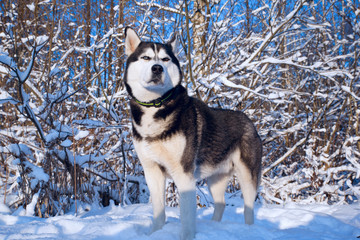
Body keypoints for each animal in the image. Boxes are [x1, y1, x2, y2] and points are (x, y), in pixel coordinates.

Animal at [124, 27, 262, 239]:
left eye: (165, 59)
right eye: (146, 57)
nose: (157, 68)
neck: (155, 107)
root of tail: (249, 121)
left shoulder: (184, 174)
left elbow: (187, 216)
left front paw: (187, 236)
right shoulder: (152, 170)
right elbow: (158, 211)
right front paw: (154, 232)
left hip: (247, 175)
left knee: (248, 207)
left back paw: (248, 230)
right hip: (215, 178)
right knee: (221, 204)